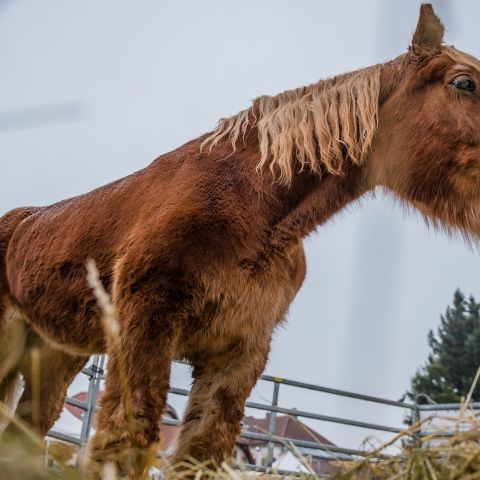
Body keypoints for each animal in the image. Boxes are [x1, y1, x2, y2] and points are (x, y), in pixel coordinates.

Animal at [0, 2, 480, 476]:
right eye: (464, 82)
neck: (256, 213)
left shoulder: (239, 353)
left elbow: (202, 452)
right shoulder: (145, 324)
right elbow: (126, 439)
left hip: (54, 355)